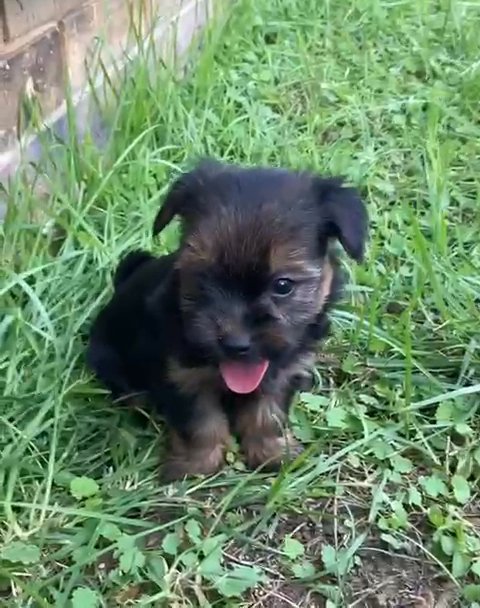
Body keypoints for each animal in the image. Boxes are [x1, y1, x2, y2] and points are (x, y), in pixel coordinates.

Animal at [87, 159, 368, 482]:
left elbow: (268, 414)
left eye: (283, 286)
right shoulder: (182, 375)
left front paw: (273, 453)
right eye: (203, 277)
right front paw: (196, 465)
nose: (236, 343)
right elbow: (200, 422)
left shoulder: (282, 373)